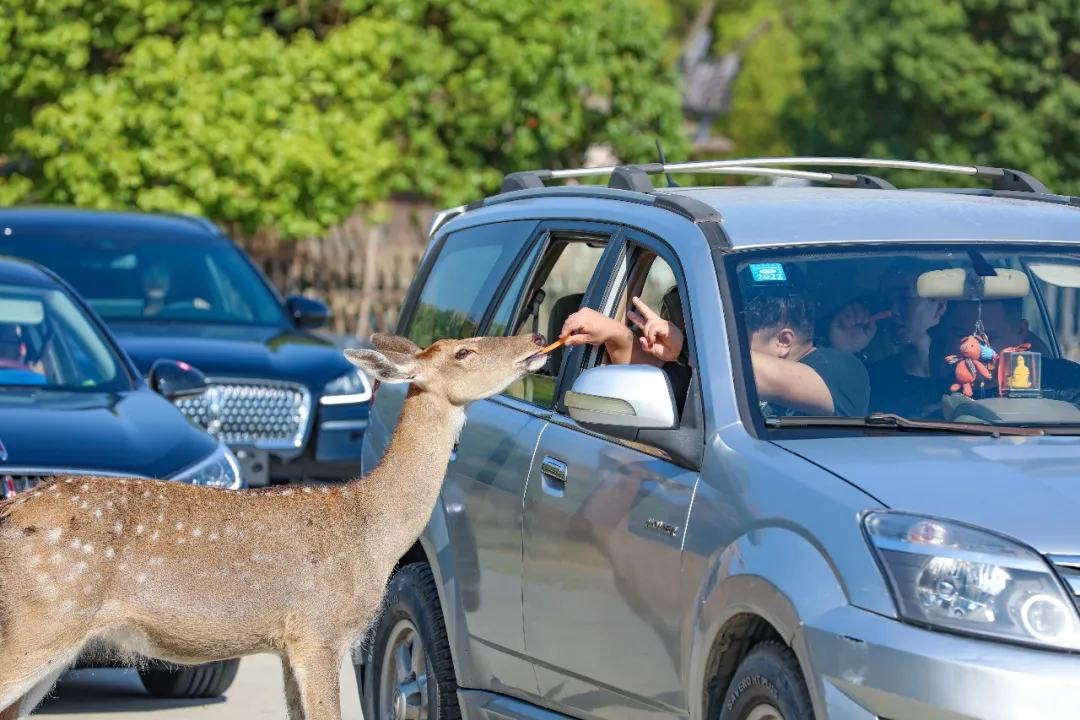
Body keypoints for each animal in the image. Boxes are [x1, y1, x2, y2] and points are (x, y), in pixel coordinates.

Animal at [0, 332, 544, 720]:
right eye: (464, 351)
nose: (536, 338)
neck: (371, 530)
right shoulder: (318, 630)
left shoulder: (286, 644)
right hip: (42, 620)